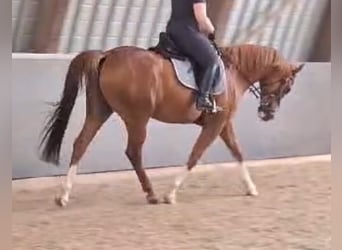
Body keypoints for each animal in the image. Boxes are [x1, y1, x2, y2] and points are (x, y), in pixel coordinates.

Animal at [38, 43, 304, 207]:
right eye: (287, 87)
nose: (268, 114)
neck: (233, 74)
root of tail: (107, 55)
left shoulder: (223, 123)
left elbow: (238, 152)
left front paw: (251, 188)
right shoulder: (215, 123)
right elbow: (195, 155)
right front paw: (171, 194)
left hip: (100, 111)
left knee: (81, 143)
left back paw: (63, 196)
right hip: (138, 118)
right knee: (133, 152)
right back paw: (152, 194)